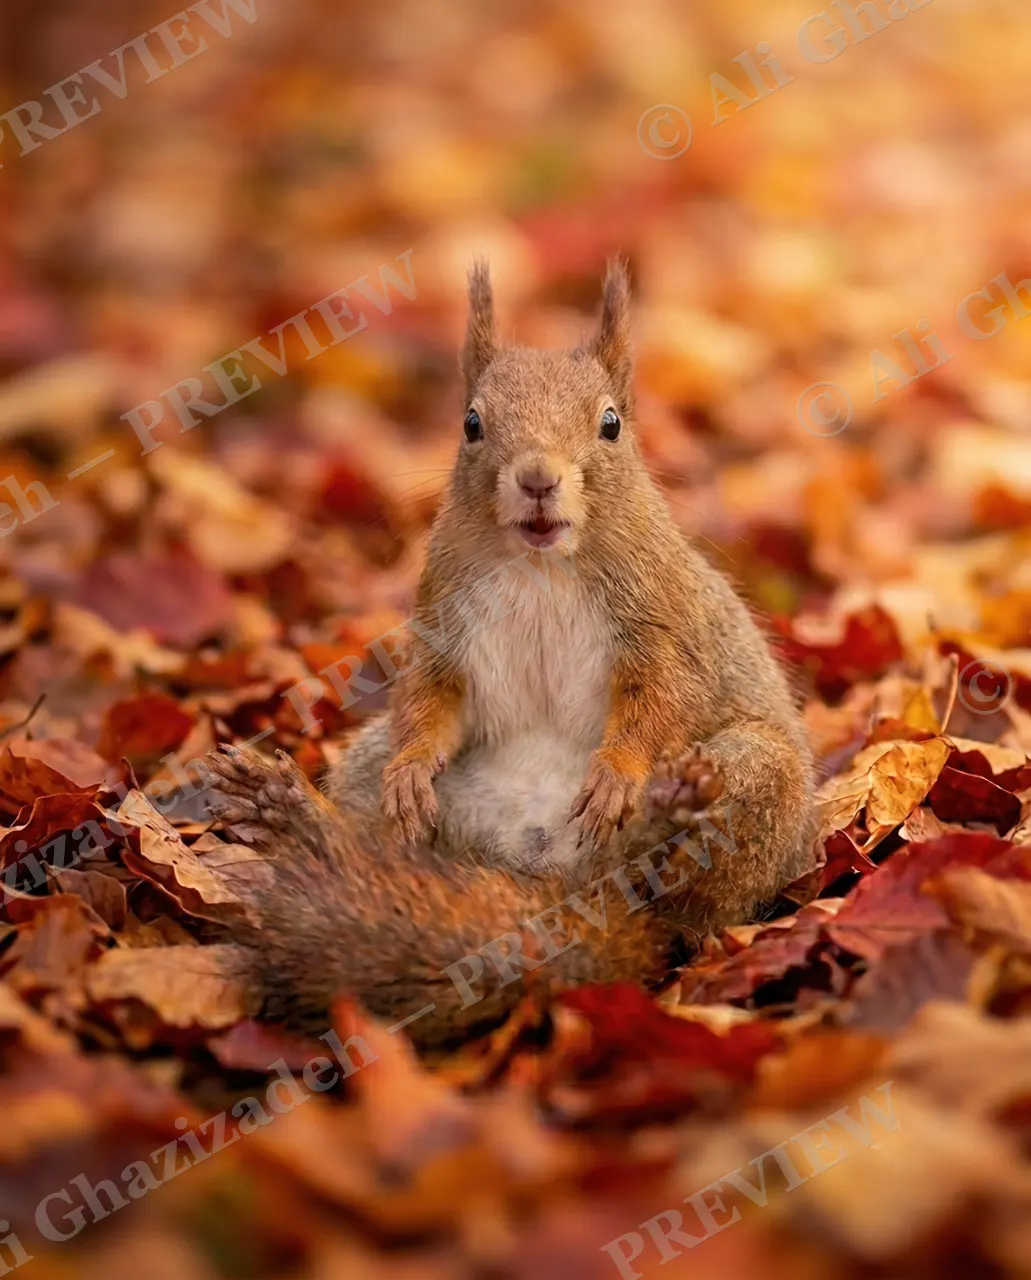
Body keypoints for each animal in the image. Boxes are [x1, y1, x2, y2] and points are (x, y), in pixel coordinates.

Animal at [206, 260, 815, 1048]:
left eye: (611, 424)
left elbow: (663, 695)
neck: (539, 565)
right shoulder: (444, 624)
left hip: (757, 777)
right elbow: (430, 700)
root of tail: (557, 882)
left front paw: (619, 772)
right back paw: (293, 813)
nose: (536, 479)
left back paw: (669, 807)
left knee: (672, 894)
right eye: (471, 423)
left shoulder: (662, 623)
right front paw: (412, 770)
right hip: (374, 774)